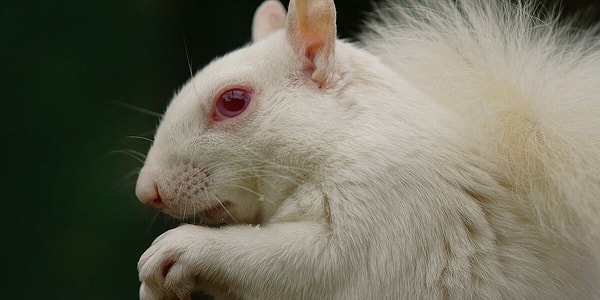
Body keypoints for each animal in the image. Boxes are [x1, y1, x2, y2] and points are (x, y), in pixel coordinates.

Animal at [135, 0, 600, 298]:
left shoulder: (390, 214)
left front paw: (181, 249)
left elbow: (306, 265)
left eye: (233, 101)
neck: (343, 138)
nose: (146, 191)